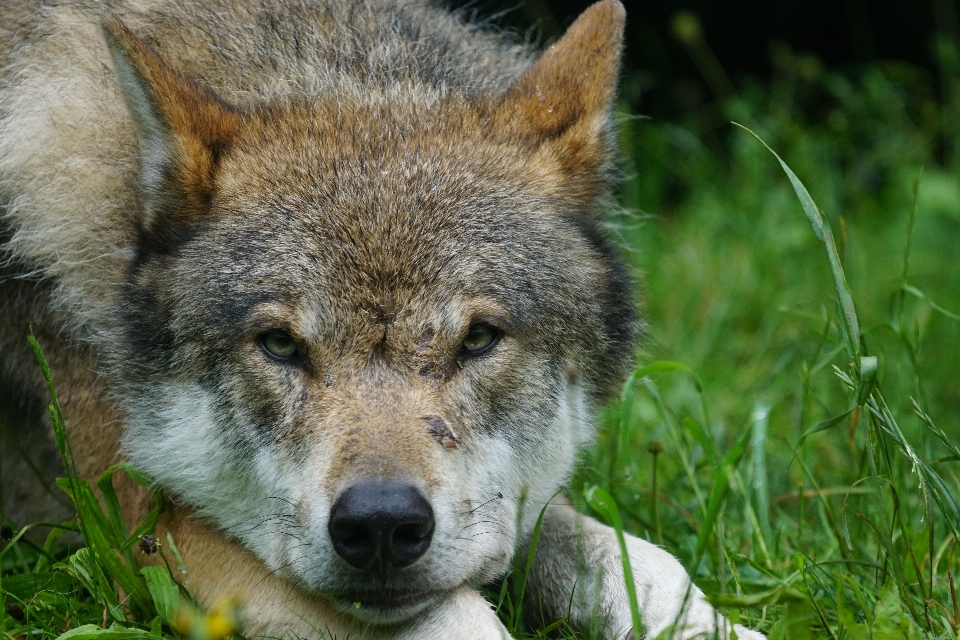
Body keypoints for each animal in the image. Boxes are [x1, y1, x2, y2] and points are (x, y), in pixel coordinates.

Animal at [0, 0, 764, 636]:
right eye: (279, 345)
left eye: (478, 339)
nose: (380, 524)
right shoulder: (147, 529)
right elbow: (468, 619)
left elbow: (646, 568)